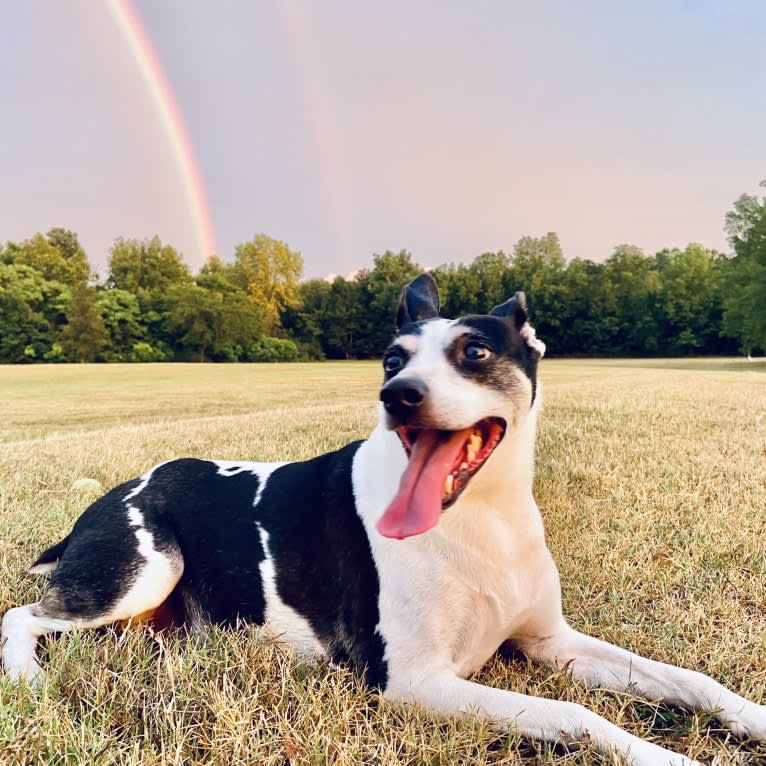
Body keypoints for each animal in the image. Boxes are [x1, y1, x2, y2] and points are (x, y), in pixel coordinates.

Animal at [1, 278, 766, 766]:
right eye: (393, 359)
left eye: (476, 352)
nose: (397, 394)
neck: (481, 517)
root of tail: (119, 490)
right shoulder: (414, 681)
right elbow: (578, 714)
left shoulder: (551, 641)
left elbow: (690, 680)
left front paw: (751, 718)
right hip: (143, 569)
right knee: (23, 615)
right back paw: (30, 679)